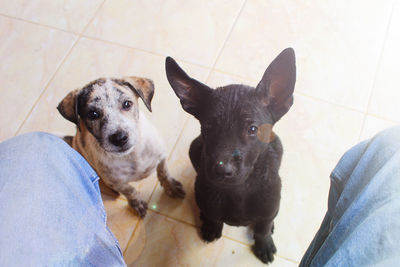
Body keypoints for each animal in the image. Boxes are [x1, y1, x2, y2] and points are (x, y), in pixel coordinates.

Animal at [57, 77, 185, 218]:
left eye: (127, 104)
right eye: (93, 114)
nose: (119, 138)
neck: (132, 154)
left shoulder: (161, 156)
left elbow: (164, 172)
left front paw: (171, 186)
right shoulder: (116, 182)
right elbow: (130, 190)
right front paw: (137, 203)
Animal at [164, 48, 296, 264]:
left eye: (252, 129)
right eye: (208, 127)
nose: (221, 169)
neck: (239, 190)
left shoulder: (269, 207)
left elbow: (263, 226)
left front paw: (264, 242)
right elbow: (212, 215)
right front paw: (211, 226)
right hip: (194, 148)